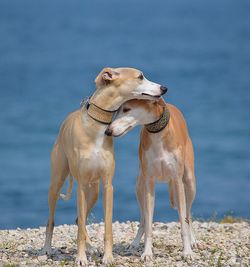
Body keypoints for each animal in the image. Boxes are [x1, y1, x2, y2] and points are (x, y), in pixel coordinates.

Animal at [42, 68, 167, 266]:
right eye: (140, 76)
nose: (164, 88)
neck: (97, 125)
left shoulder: (108, 185)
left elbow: (107, 226)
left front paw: (108, 257)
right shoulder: (81, 186)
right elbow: (78, 229)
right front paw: (80, 258)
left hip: (94, 190)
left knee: (79, 219)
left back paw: (91, 248)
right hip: (57, 183)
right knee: (52, 219)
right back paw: (47, 248)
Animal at [105, 98, 197, 262]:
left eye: (127, 109)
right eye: (117, 110)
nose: (108, 131)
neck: (158, 135)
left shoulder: (177, 181)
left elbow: (183, 221)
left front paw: (187, 252)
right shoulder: (149, 183)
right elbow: (148, 223)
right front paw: (147, 252)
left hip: (190, 183)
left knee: (188, 215)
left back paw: (193, 240)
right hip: (139, 187)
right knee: (143, 219)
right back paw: (135, 243)